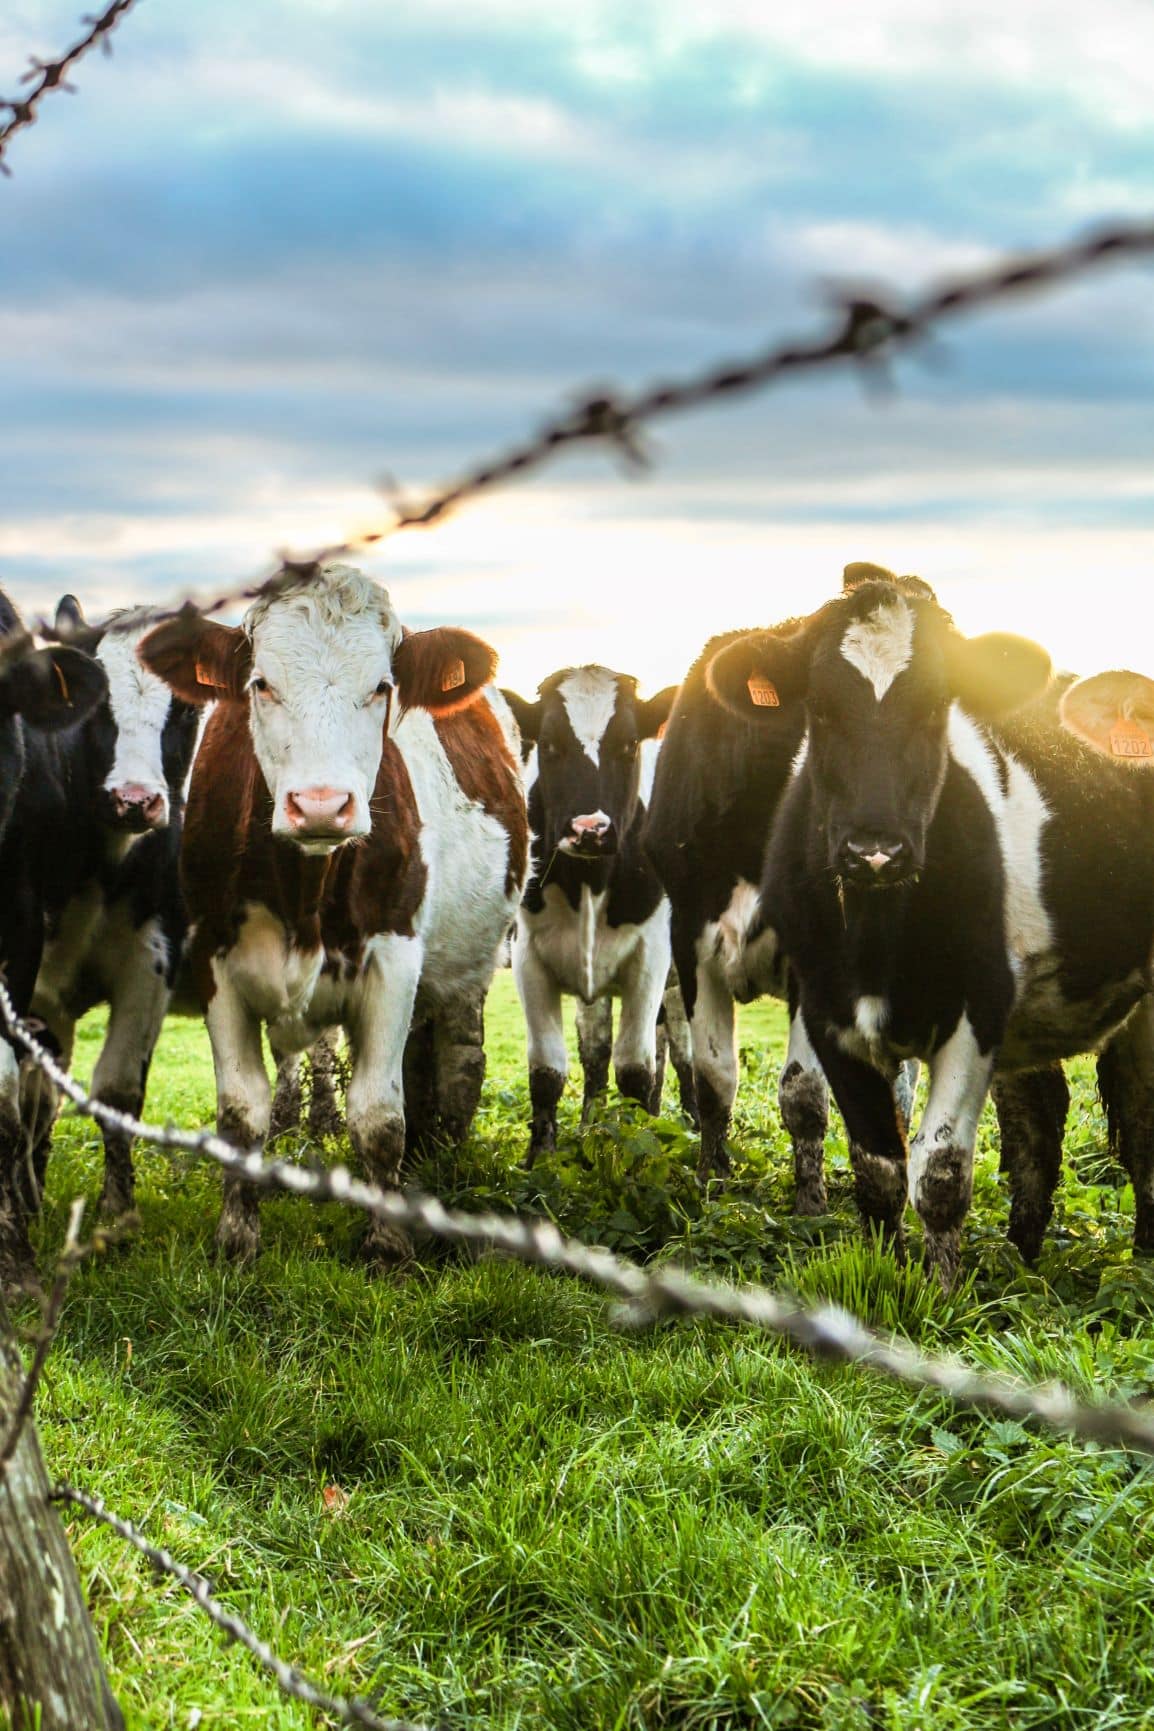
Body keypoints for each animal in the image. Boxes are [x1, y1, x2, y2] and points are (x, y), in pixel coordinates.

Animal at [24, 597, 200, 1224]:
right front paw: (30, 1199)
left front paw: (120, 1214)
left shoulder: (152, 959)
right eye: (95, 708)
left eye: (187, 710)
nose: (134, 800)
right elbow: (37, 1096)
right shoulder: (40, 980)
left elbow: (118, 1091)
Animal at [139, 563, 527, 1265]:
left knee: (460, 1059)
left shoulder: (395, 960)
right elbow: (241, 1112)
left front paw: (389, 1245)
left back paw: (445, 1159)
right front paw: (237, 1240)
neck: (303, 892)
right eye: (261, 684)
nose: (321, 805)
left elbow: (378, 1115)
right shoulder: (215, 964)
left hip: (471, 963)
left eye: (381, 687)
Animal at [500, 666, 683, 1160]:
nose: (590, 830)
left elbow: (636, 1069)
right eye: (548, 744)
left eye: (629, 743)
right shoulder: (527, 957)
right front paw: (541, 1156)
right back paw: (590, 1126)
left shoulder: (651, 957)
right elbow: (548, 1069)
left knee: (679, 1054)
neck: (589, 882)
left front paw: (639, 1149)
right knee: (599, 1053)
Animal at [705, 571, 1154, 1286]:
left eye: (937, 707)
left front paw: (942, 1292)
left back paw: (1139, 1259)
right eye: (820, 710)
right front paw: (884, 1272)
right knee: (1041, 1119)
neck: (876, 932)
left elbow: (940, 1172)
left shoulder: (977, 1007)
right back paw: (1024, 1257)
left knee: (1141, 1121)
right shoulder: (827, 1008)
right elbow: (879, 1168)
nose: (875, 850)